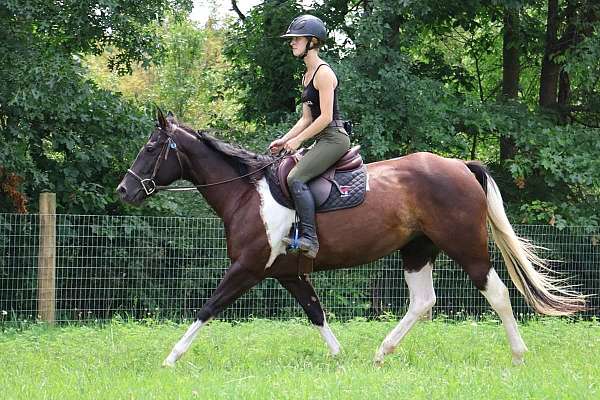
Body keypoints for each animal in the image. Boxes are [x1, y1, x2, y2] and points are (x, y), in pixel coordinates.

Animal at [117, 110, 584, 368]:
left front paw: (170, 358)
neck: (249, 193)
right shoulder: (287, 273)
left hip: (465, 247)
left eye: (152, 148)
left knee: (498, 294)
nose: (124, 190)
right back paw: (381, 353)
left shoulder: (247, 268)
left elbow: (208, 308)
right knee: (423, 302)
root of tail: (459, 165)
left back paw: (518, 356)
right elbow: (315, 311)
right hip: (417, 249)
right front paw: (340, 358)